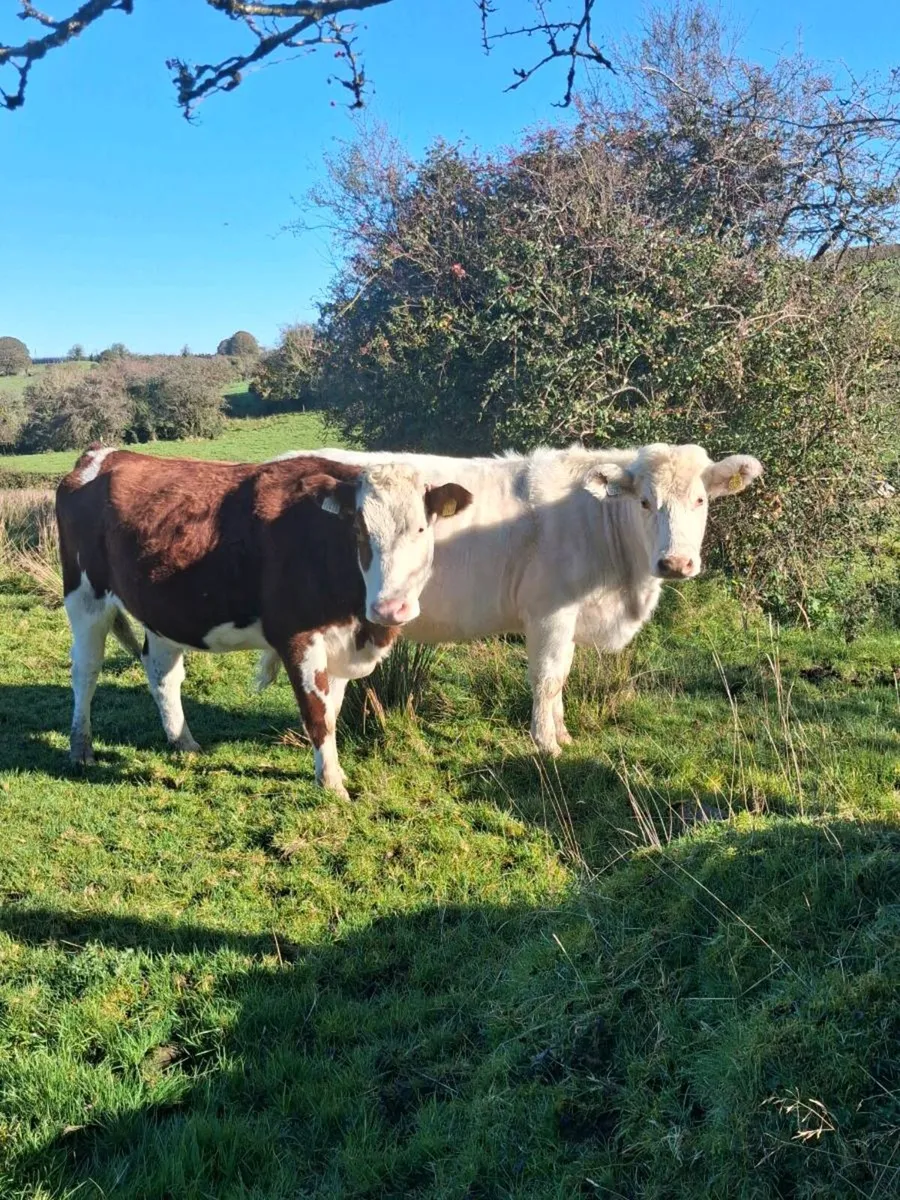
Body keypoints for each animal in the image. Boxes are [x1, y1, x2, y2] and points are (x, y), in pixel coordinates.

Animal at [55, 447, 472, 797]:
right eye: (359, 530)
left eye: (421, 528)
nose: (390, 608)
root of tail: (103, 455)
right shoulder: (297, 635)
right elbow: (316, 712)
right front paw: (332, 785)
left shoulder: (341, 641)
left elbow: (333, 710)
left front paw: (333, 771)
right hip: (85, 596)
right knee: (86, 671)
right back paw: (81, 748)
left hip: (163, 610)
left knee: (162, 674)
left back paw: (183, 742)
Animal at [264, 443, 762, 755]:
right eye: (645, 502)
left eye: (700, 500)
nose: (675, 562)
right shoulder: (549, 613)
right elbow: (547, 678)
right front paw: (547, 744)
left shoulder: (567, 619)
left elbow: (561, 678)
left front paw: (562, 734)